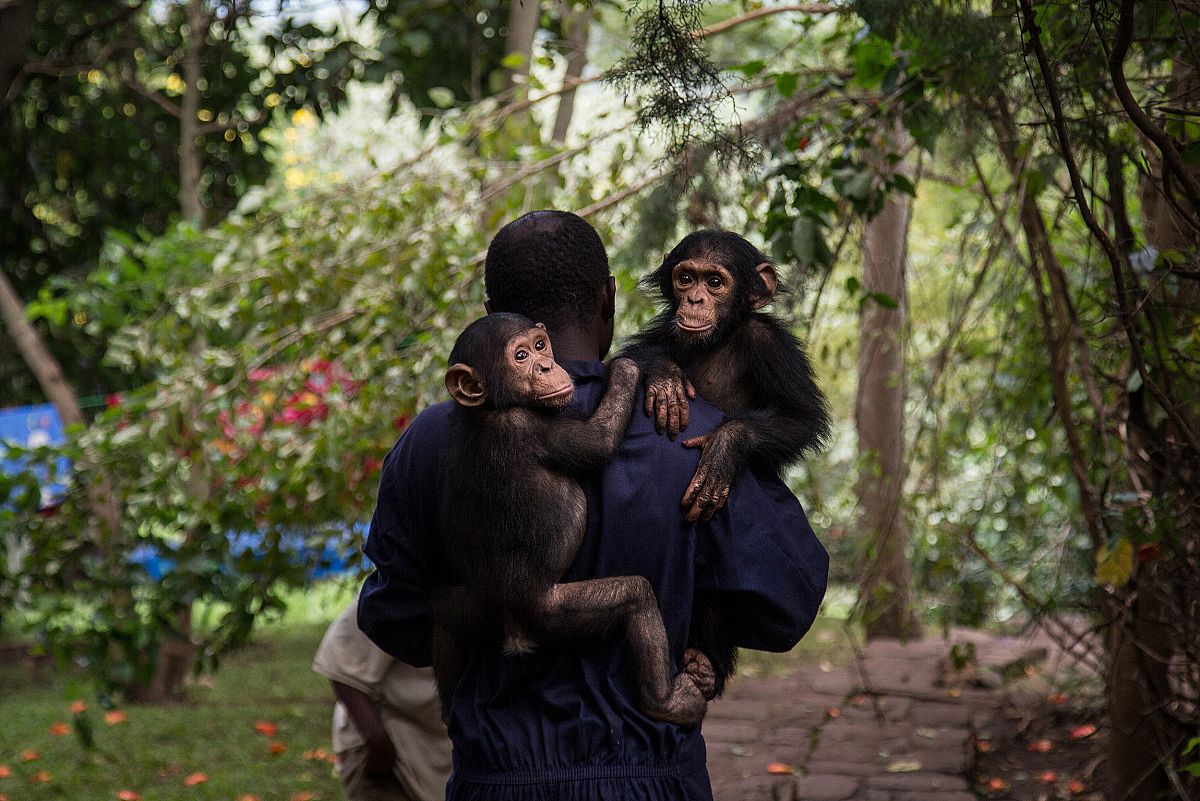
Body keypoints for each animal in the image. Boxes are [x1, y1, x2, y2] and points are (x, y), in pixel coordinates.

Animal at [432, 316, 705, 729]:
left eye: (540, 345)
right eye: (521, 356)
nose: (546, 366)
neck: (493, 408)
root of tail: (514, 631)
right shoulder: (529, 426)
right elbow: (597, 442)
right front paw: (627, 367)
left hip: (476, 609)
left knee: (442, 614)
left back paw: (450, 712)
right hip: (552, 613)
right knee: (636, 596)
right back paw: (667, 702)